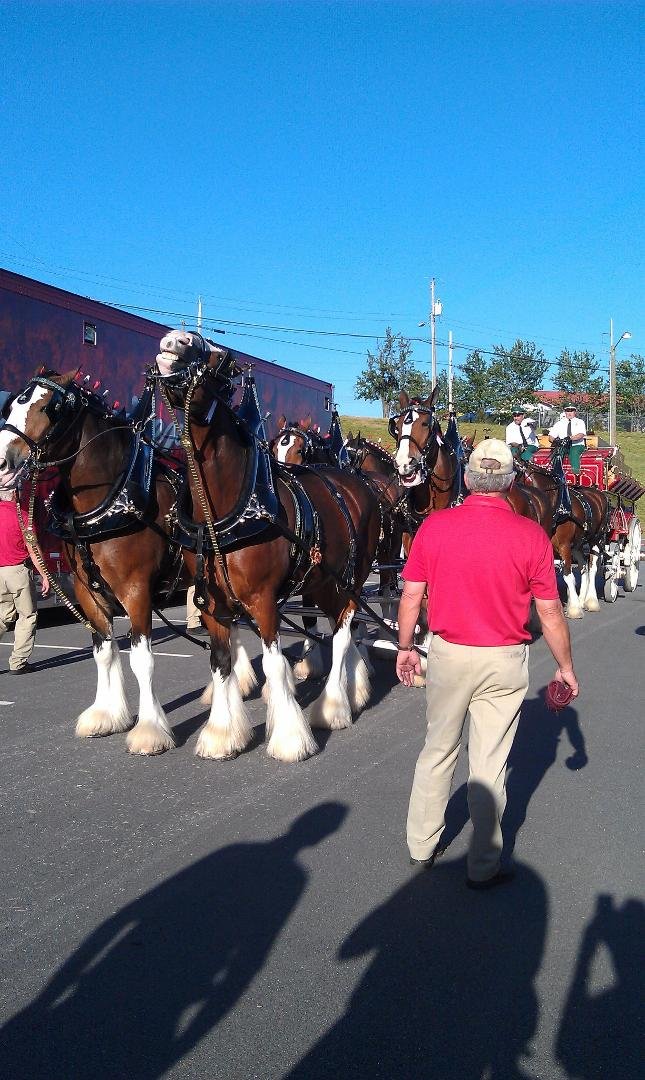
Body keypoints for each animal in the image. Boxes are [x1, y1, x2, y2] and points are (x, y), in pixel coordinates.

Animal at [0, 368, 189, 754]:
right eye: (9, 406)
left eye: (48, 408)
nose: (1, 463)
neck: (112, 496)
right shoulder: (88, 593)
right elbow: (104, 652)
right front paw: (106, 715)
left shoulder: (136, 591)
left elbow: (141, 659)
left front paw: (150, 730)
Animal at [154, 330, 383, 763]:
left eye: (221, 357)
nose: (174, 340)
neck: (230, 509)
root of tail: (358, 484)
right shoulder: (214, 604)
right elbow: (221, 662)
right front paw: (222, 734)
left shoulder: (262, 600)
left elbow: (276, 664)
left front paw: (290, 739)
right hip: (320, 582)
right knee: (340, 625)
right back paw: (356, 689)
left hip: (350, 578)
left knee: (344, 630)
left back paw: (333, 707)